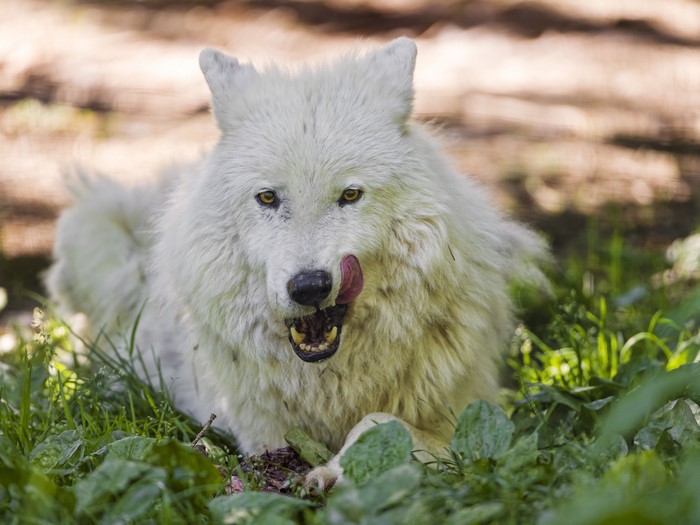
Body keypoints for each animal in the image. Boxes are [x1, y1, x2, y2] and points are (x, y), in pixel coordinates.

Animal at [46, 37, 547, 488]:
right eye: (268, 197)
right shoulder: (258, 433)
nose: (309, 286)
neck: (331, 382)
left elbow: (381, 421)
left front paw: (334, 471)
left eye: (350, 195)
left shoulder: (472, 415)